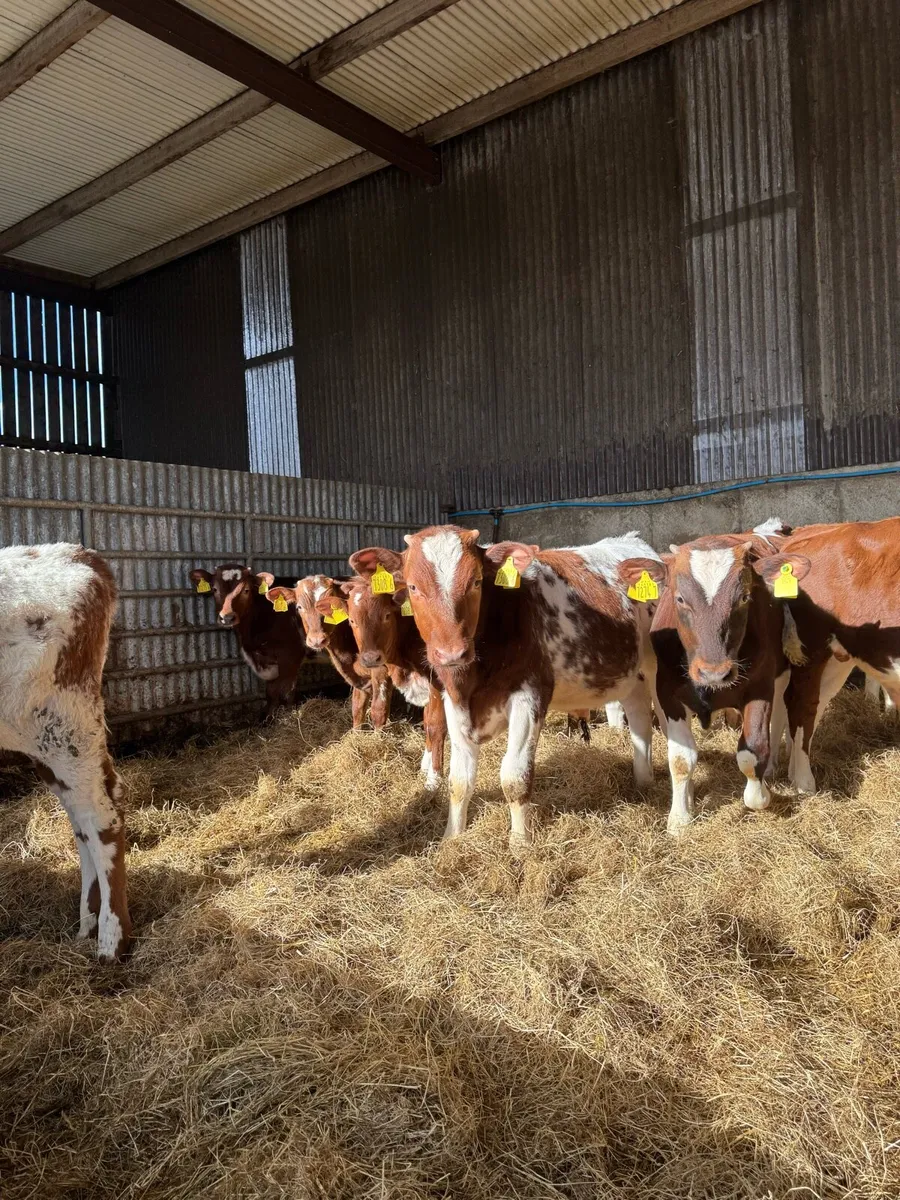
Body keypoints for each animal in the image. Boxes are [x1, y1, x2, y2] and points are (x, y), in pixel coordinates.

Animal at [0, 543, 131, 962]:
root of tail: (79, 554)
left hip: (63, 726)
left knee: (101, 819)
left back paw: (111, 942)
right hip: (51, 744)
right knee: (81, 820)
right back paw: (88, 925)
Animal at [189, 564, 309, 723]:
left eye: (246, 590)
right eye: (214, 589)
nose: (227, 618)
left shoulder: (291, 655)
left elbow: (286, 691)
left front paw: (291, 718)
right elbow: (271, 692)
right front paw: (266, 720)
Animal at [264, 575, 392, 732]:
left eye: (330, 609)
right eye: (299, 607)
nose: (317, 640)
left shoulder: (381, 669)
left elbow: (379, 710)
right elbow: (357, 708)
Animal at [356, 527, 661, 848]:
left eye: (476, 581)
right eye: (413, 587)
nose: (452, 653)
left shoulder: (529, 696)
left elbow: (515, 776)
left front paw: (519, 843)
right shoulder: (453, 699)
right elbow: (459, 780)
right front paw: (452, 838)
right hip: (632, 677)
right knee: (640, 720)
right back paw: (643, 782)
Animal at [620, 529, 801, 835]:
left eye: (744, 597)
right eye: (680, 598)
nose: (714, 672)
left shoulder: (761, 687)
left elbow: (753, 752)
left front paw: (761, 795)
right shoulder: (667, 693)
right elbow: (681, 759)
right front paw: (680, 817)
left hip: (782, 675)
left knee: (777, 720)